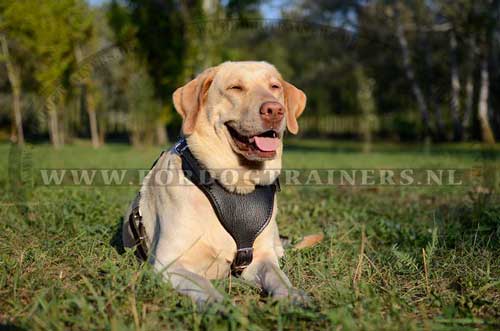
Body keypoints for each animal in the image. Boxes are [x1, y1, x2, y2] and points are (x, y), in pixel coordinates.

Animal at [123, 60, 306, 306]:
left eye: (275, 86)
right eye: (235, 88)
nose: (275, 109)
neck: (236, 184)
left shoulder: (261, 258)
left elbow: (278, 276)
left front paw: (292, 295)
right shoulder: (170, 264)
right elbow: (207, 288)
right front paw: (222, 307)